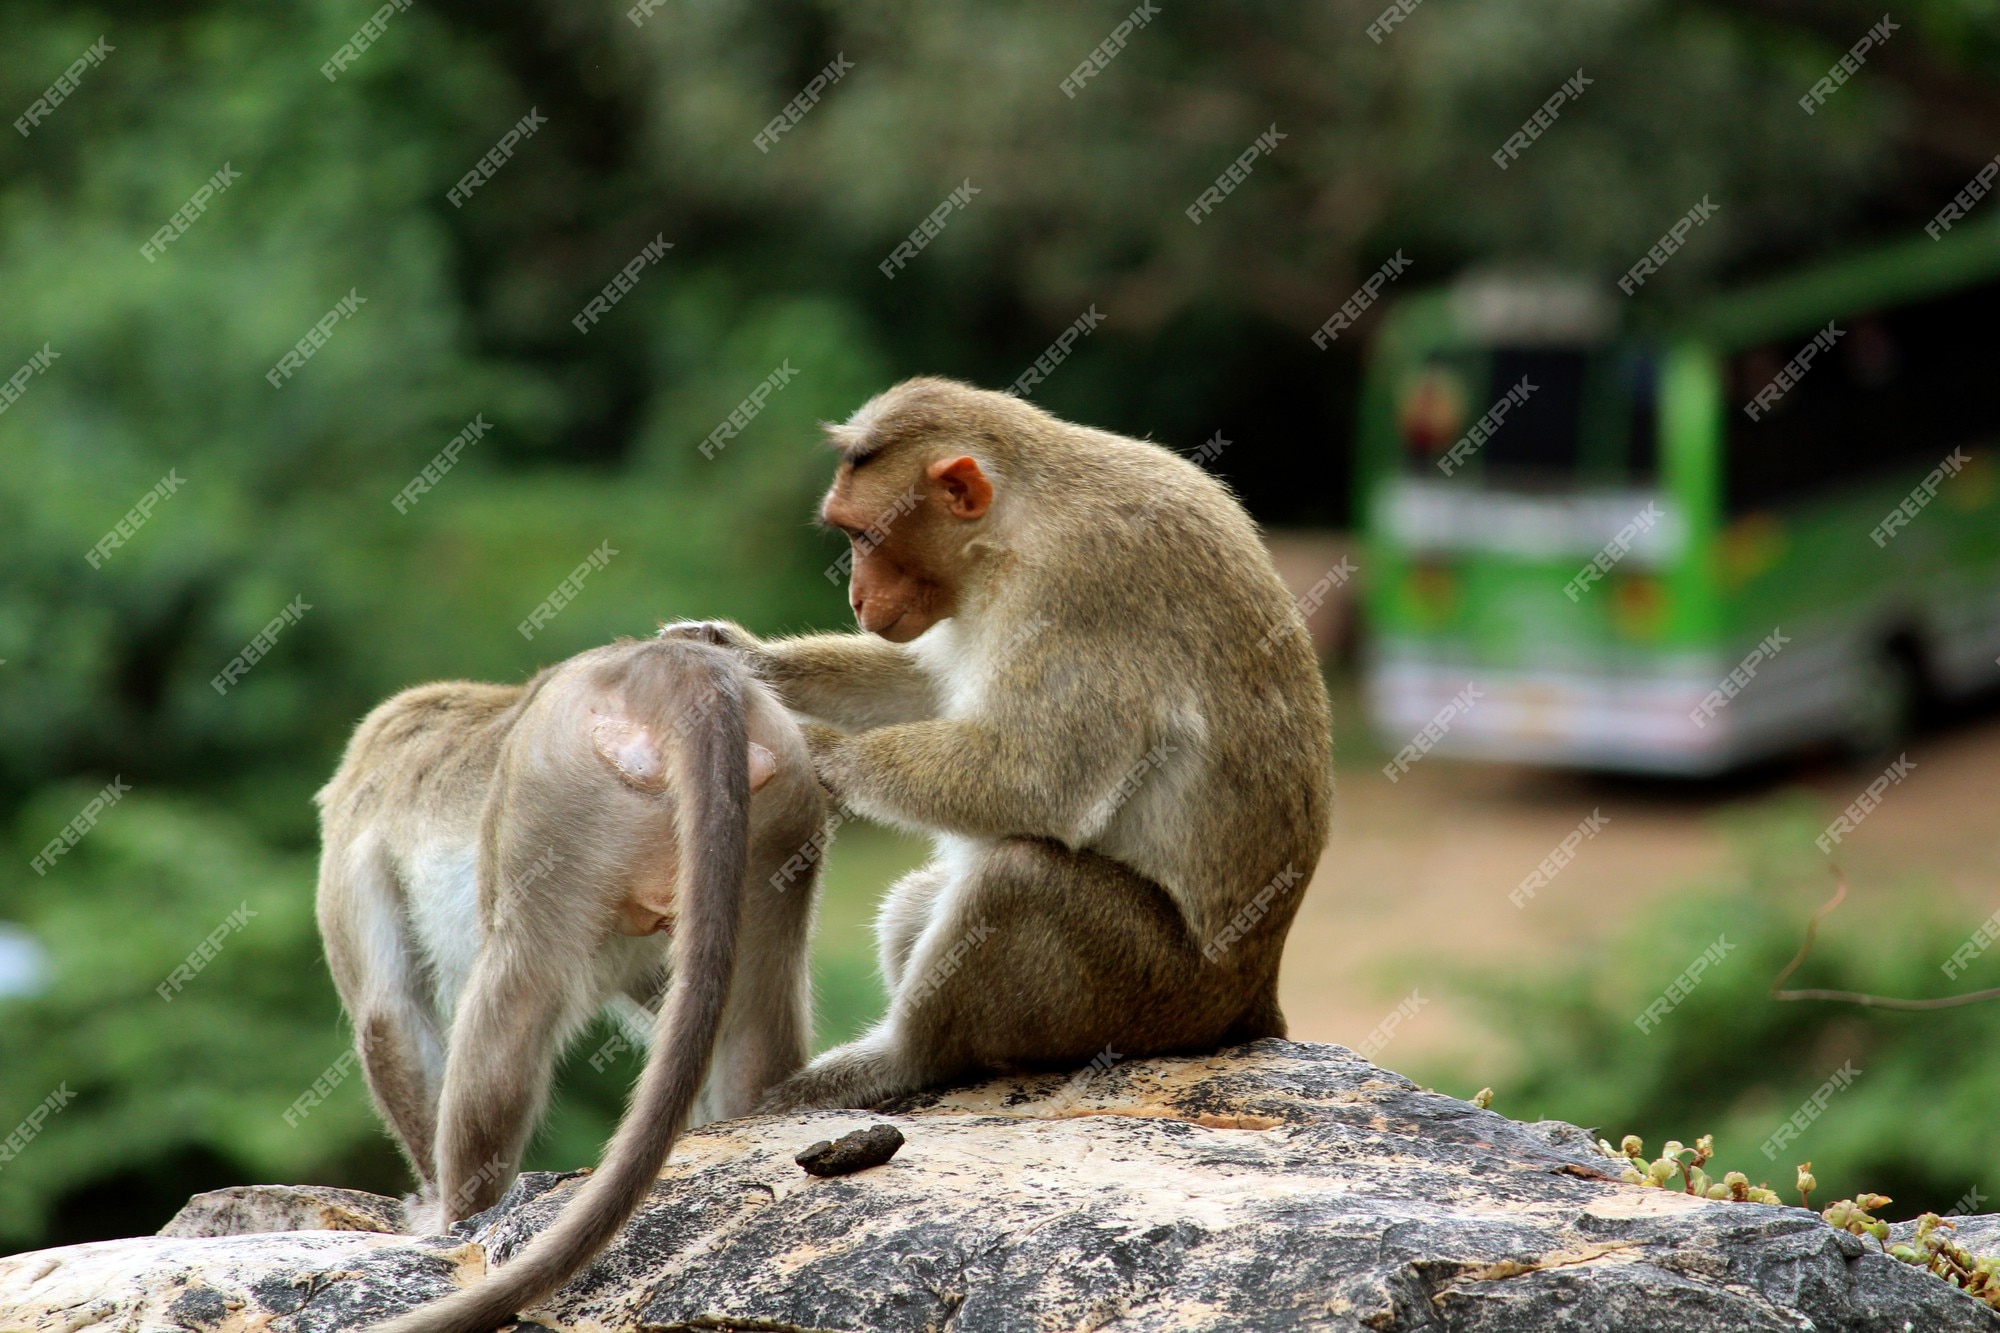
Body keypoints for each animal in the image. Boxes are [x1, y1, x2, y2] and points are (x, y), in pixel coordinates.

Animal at [310, 632, 820, 1328]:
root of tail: (672, 675)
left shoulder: (359, 824)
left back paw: (458, 1216)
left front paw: (430, 1210)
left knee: (519, 991)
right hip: (783, 804)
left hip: (556, 790)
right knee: (754, 1020)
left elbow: (388, 1013)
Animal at [668, 368, 1328, 1104]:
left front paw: (817, 749)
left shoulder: (1077, 588)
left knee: (1017, 874)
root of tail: (1251, 996)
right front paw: (744, 659)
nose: (857, 599)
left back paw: (903, 1060)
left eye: (864, 537)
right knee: (916, 904)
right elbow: (925, 686)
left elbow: (1040, 779)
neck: (1014, 528)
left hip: (1149, 992)